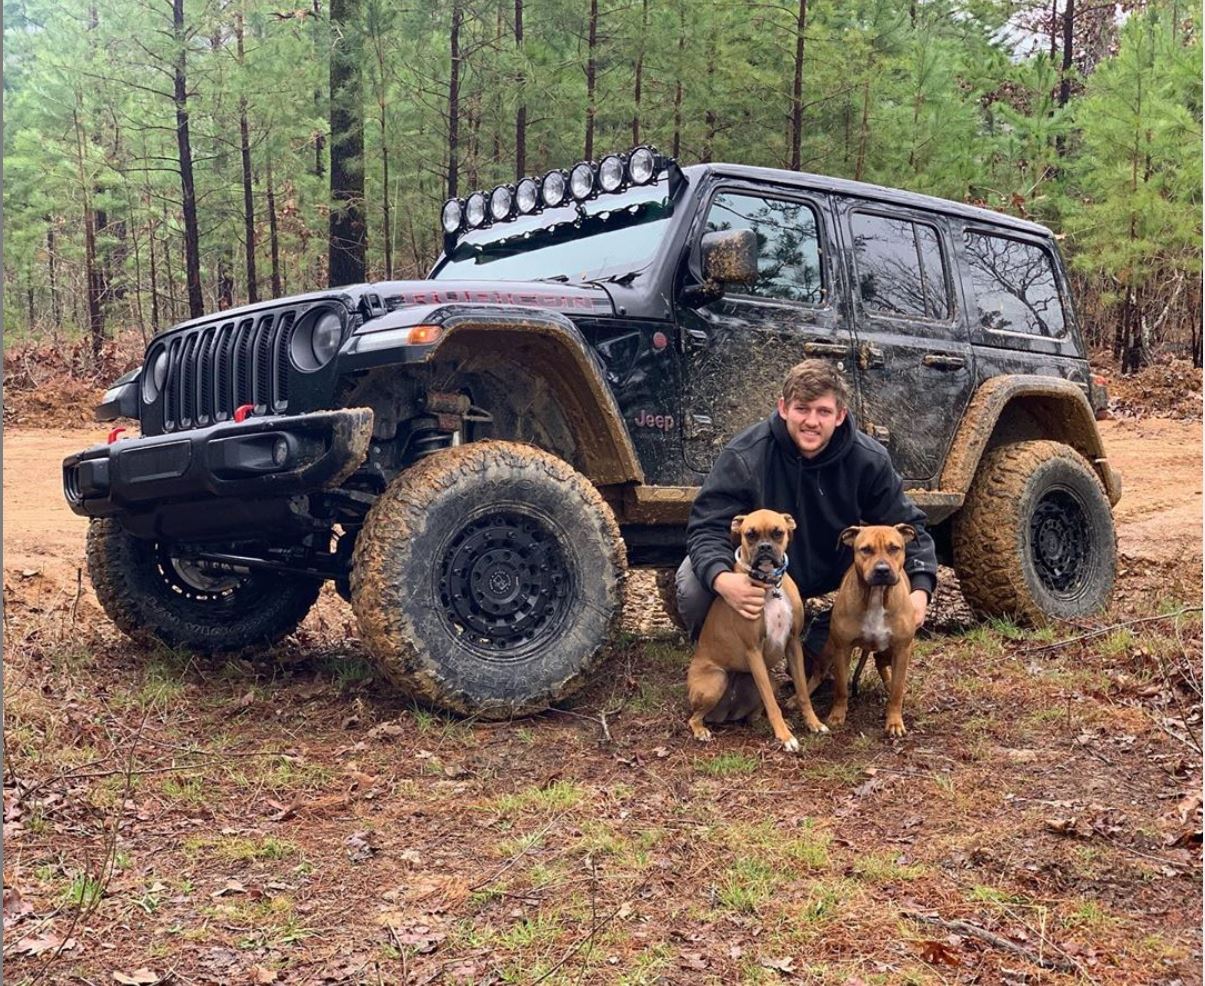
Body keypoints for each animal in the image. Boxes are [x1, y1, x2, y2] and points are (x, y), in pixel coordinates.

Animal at [689, 511, 829, 747]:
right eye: (750, 534)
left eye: (778, 532)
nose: (764, 546)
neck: (771, 586)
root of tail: (728, 713)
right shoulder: (753, 650)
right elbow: (772, 704)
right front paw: (785, 737)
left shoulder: (793, 644)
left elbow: (802, 691)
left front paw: (813, 722)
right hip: (717, 680)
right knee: (694, 717)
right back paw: (700, 730)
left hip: (771, 681)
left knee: (753, 716)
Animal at [819, 525, 920, 732]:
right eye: (865, 549)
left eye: (894, 548)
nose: (882, 570)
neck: (876, 595)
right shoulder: (842, 649)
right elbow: (841, 688)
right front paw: (837, 715)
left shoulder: (902, 650)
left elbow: (897, 690)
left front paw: (894, 721)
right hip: (829, 650)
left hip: (892, 651)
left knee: (882, 663)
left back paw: (889, 685)